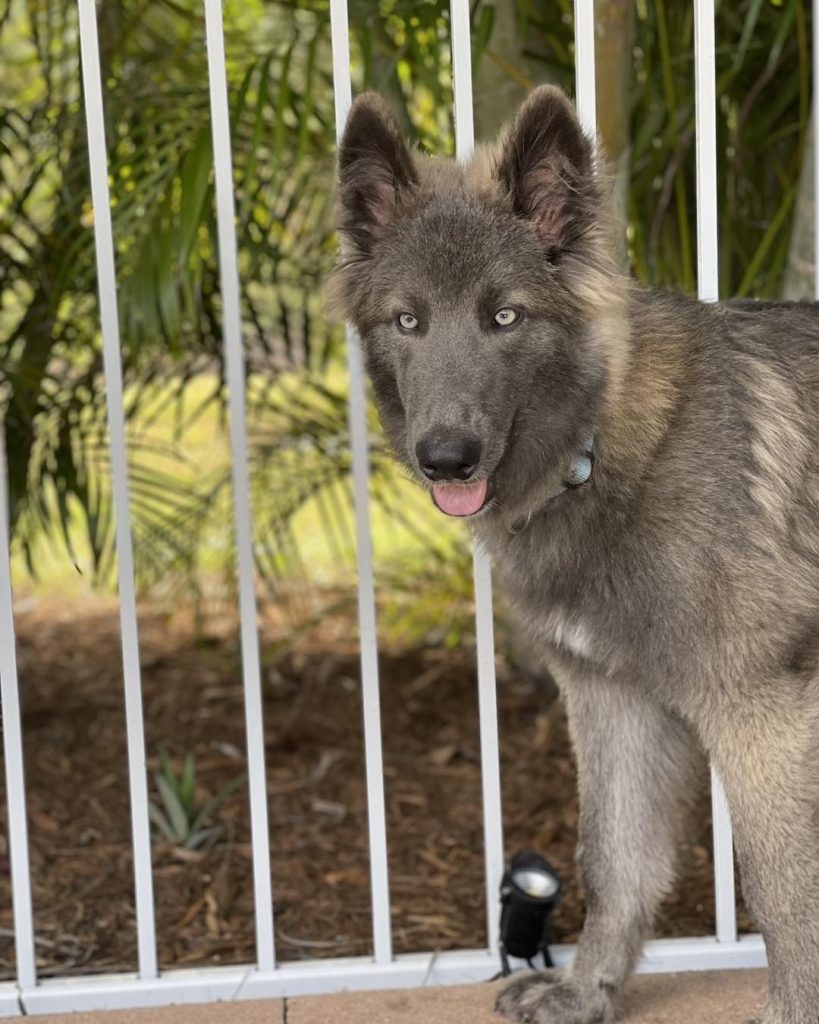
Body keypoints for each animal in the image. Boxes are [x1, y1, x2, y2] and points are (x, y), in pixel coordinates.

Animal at [329, 88, 814, 1024]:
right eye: (408, 320)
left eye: (504, 316)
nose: (445, 459)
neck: (599, 449)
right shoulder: (609, 696)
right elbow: (613, 860)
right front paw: (586, 990)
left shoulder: (762, 713)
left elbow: (783, 893)